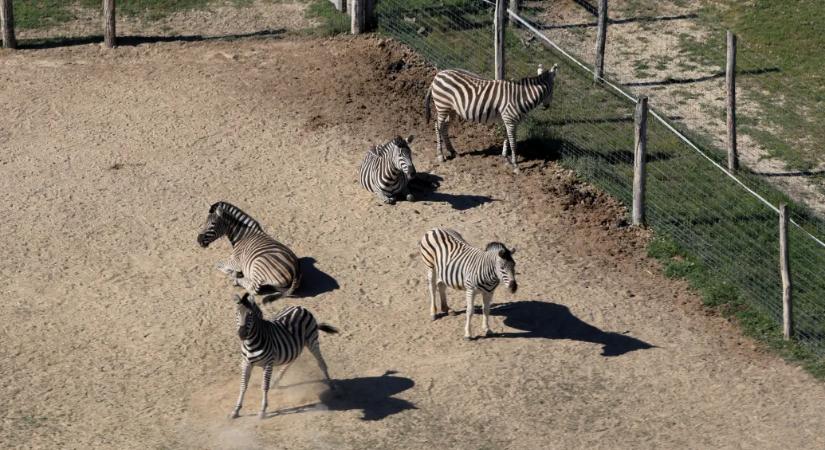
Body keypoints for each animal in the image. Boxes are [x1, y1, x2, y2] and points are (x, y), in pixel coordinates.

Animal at [424, 64, 558, 172]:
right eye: (553, 88)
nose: (547, 106)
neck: (520, 97)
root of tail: (438, 75)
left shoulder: (510, 121)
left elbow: (507, 138)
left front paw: (506, 157)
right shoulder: (510, 119)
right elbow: (513, 142)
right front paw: (515, 165)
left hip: (451, 110)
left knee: (444, 127)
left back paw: (452, 151)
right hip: (442, 106)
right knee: (438, 126)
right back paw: (440, 155)